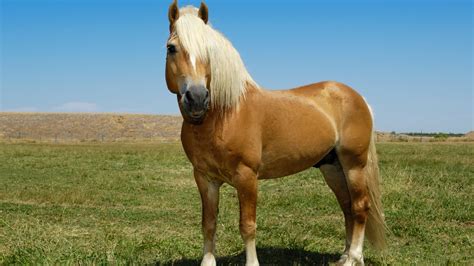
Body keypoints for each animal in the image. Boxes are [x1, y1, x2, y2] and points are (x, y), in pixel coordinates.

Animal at [165, 1, 386, 264]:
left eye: (209, 50)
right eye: (171, 48)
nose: (197, 98)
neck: (225, 115)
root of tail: (357, 97)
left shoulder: (246, 177)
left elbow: (247, 226)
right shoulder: (204, 178)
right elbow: (209, 224)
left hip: (354, 165)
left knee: (360, 207)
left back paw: (354, 257)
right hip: (333, 167)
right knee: (347, 207)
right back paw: (343, 256)